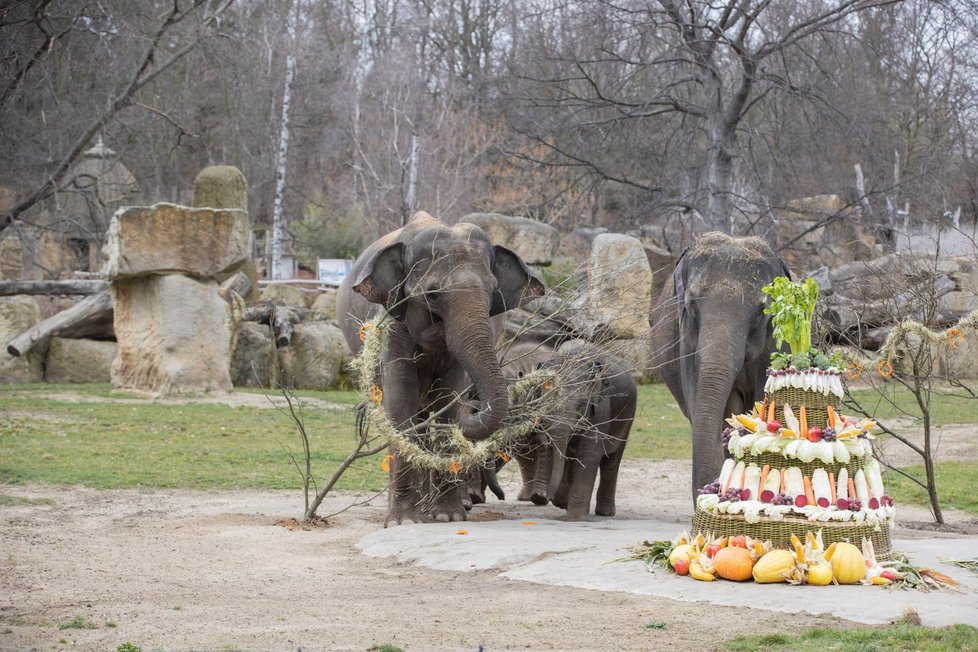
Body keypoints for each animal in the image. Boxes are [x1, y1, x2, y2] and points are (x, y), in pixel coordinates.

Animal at [338, 213, 544, 524]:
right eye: (433, 295)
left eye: (492, 293)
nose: (475, 407)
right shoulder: (392, 323)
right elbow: (400, 401)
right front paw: (404, 521)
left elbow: (449, 399)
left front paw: (448, 517)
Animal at [536, 344, 636, 524]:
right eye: (545, 403)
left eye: (581, 405)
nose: (544, 497)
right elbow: (551, 452)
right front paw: (564, 502)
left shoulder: (601, 408)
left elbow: (589, 454)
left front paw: (576, 518)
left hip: (627, 418)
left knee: (611, 461)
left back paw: (605, 512)